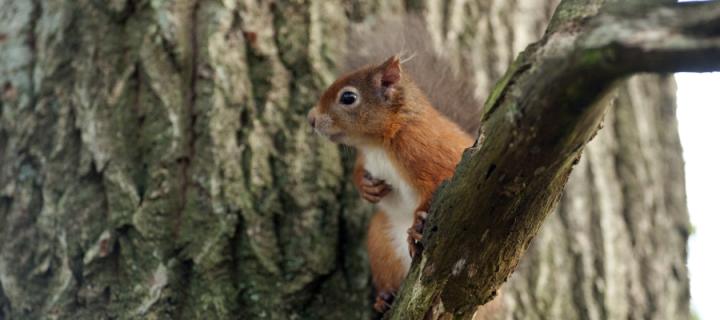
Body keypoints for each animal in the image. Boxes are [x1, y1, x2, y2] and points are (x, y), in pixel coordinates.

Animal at [306, 55, 476, 312]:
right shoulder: (366, 158)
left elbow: (439, 182)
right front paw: (366, 188)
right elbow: (358, 171)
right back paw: (384, 298)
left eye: (348, 97)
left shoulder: (427, 150)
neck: (377, 144)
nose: (311, 119)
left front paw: (418, 224)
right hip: (380, 242)